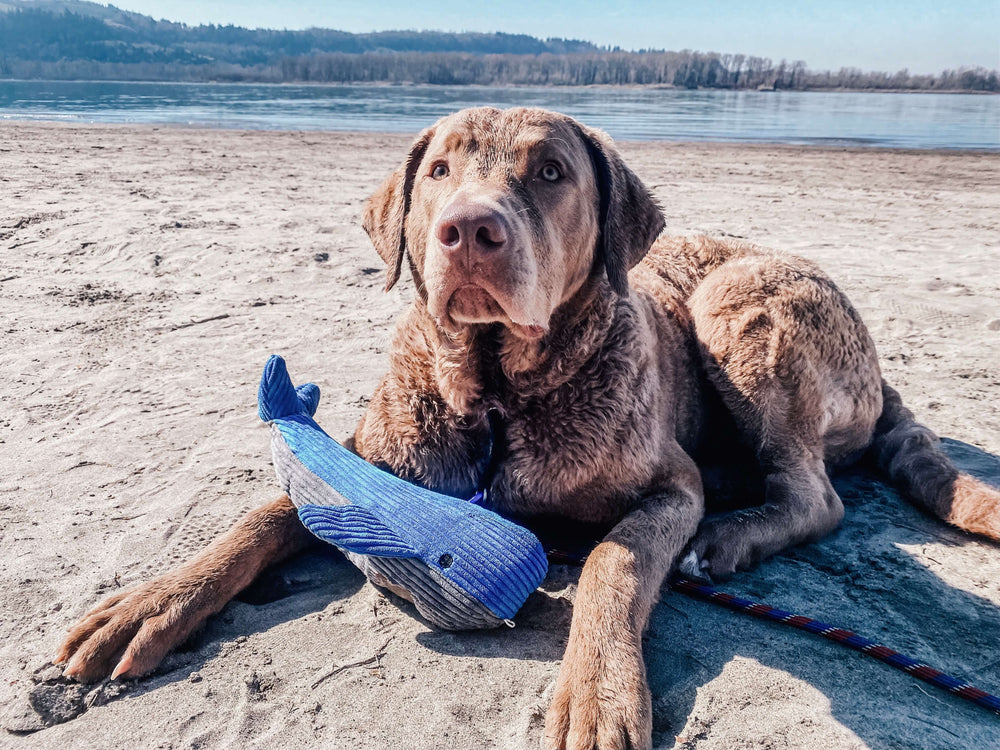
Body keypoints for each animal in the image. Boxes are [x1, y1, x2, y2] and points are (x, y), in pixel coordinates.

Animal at [56, 107, 1000, 750]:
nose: (470, 229)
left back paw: (729, 539)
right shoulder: (368, 459)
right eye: (438, 169)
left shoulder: (670, 484)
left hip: (739, 307)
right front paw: (149, 604)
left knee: (814, 495)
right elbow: (262, 515)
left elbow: (615, 562)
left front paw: (598, 694)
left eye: (550, 171)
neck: (497, 397)